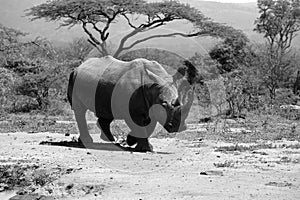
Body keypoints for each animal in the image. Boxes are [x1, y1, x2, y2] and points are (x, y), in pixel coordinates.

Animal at [67, 55, 196, 152]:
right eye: (164, 105)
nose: (179, 128)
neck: (152, 87)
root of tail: (78, 67)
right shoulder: (133, 110)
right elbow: (138, 125)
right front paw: (145, 149)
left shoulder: (151, 106)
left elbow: (148, 127)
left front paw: (131, 140)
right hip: (74, 79)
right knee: (80, 110)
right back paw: (87, 141)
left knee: (107, 109)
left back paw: (110, 140)